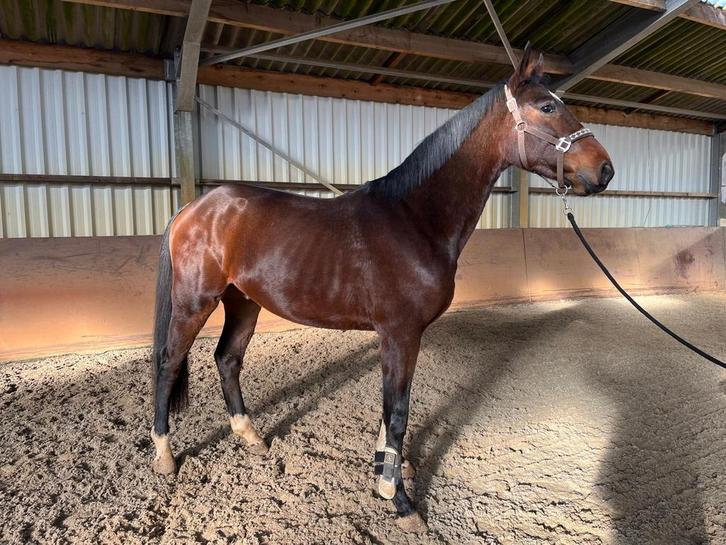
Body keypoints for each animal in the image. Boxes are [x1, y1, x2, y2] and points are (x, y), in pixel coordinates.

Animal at [150, 45, 613, 532]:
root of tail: (194, 208)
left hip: (244, 302)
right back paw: (164, 456)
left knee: (227, 359)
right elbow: (398, 414)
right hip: (195, 302)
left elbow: (393, 409)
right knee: (169, 362)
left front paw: (387, 470)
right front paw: (400, 501)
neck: (414, 218)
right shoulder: (401, 333)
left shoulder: (401, 337)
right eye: (547, 107)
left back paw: (251, 438)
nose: (605, 170)